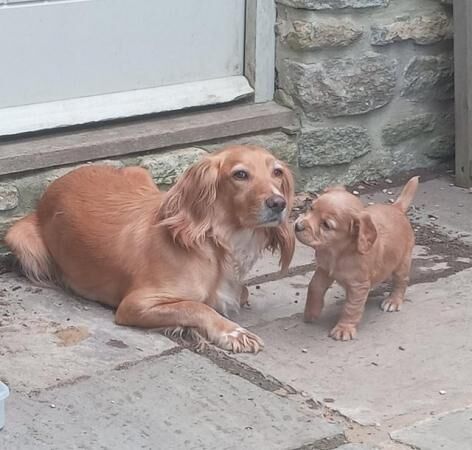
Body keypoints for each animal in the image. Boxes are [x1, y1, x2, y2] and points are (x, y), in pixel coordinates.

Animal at [5, 146, 296, 354]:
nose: (278, 203)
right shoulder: (135, 304)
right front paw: (232, 332)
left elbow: (237, 293)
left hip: (139, 174)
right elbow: (196, 306)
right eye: (240, 174)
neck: (216, 242)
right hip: (21, 238)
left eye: (277, 172)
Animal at [296, 178, 420, 340]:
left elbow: (351, 307)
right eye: (311, 208)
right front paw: (311, 313)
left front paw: (344, 328)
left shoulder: (358, 286)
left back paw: (393, 301)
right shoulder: (323, 270)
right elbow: (314, 288)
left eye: (326, 225)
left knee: (401, 282)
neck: (337, 252)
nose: (297, 226)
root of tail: (397, 208)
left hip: (402, 263)